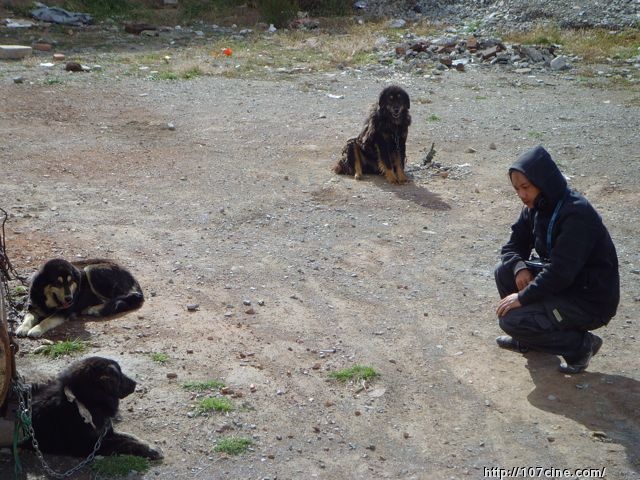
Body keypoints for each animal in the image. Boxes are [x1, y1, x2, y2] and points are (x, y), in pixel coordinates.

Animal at [16, 258, 144, 338]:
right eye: (57, 283)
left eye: (70, 281)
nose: (69, 299)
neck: (48, 301)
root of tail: (132, 277)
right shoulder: (33, 307)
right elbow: (28, 318)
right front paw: (22, 328)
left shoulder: (64, 311)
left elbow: (47, 320)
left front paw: (36, 329)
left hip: (92, 269)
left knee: (125, 298)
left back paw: (94, 309)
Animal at [21, 356, 164, 462]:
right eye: (118, 376)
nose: (135, 383)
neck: (85, 402)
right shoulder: (87, 445)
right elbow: (124, 443)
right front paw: (149, 450)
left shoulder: (106, 432)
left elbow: (130, 436)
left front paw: (151, 447)